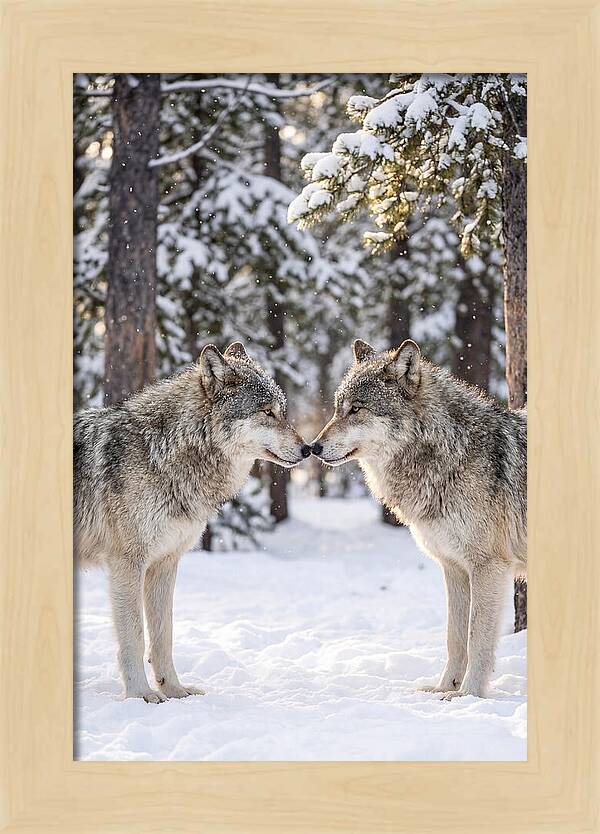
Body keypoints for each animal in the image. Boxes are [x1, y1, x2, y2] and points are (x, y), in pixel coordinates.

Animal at [74, 342, 310, 702]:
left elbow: (164, 635)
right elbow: (134, 635)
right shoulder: (127, 564)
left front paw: (173, 689)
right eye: (267, 412)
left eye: (282, 412)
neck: (162, 454)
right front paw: (141, 695)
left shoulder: (165, 563)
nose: (308, 448)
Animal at [311, 339, 526, 699]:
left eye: (356, 409)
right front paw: (443, 688)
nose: (312, 447)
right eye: (338, 408)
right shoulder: (454, 567)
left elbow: (476, 639)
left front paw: (468, 695)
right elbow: (455, 638)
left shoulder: (488, 566)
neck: (449, 452)